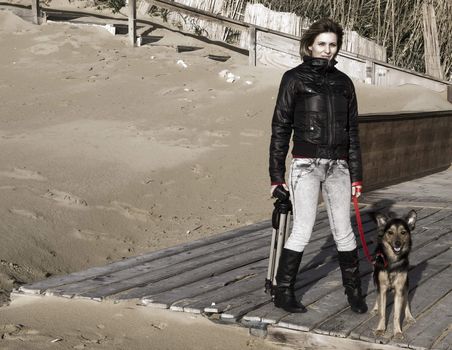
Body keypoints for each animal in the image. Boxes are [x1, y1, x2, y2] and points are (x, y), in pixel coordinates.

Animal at [370, 211, 416, 340]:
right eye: (390, 232)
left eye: (403, 232)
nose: (397, 243)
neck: (393, 261)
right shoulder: (382, 288)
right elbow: (382, 312)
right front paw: (380, 329)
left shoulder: (399, 289)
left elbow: (396, 314)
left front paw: (397, 332)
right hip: (375, 278)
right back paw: (375, 308)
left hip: (406, 284)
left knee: (406, 301)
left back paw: (409, 317)